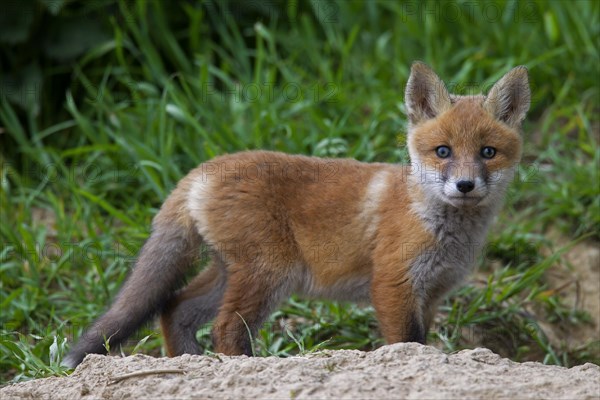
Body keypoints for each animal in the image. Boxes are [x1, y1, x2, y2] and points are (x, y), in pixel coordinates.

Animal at [62, 62, 528, 368]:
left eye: (488, 152)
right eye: (443, 151)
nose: (465, 186)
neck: (441, 228)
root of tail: (203, 168)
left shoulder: (430, 294)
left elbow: (424, 344)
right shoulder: (394, 284)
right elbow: (407, 344)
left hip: (231, 273)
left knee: (174, 308)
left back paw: (194, 367)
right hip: (270, 272)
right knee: (225, 328)